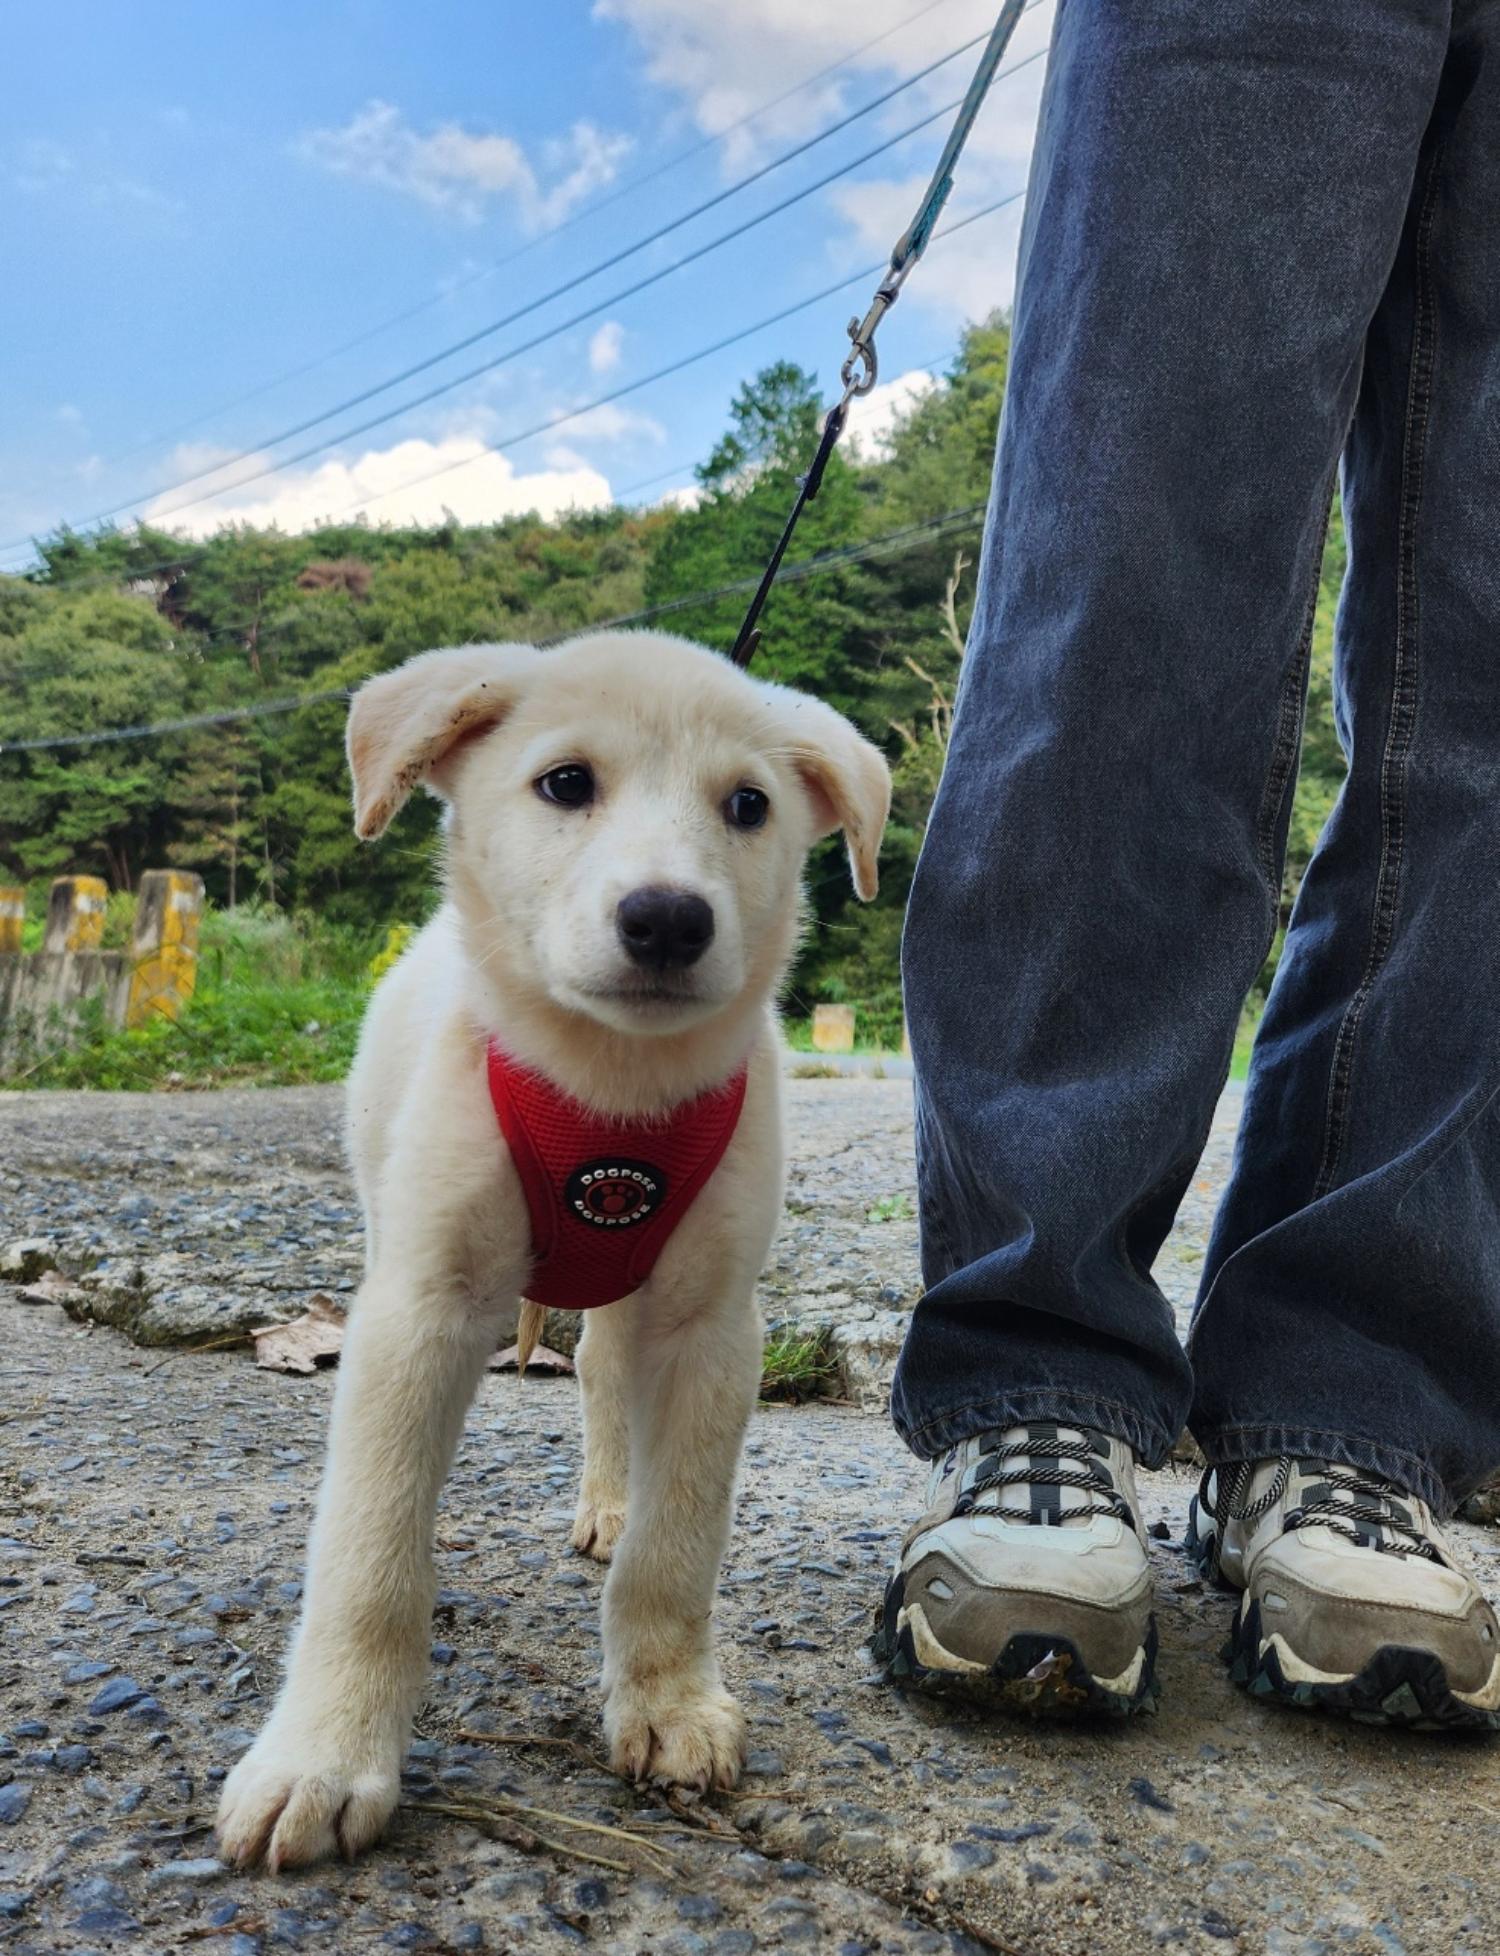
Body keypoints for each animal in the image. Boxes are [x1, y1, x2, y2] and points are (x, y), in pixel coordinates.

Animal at [213, 633, 891, 1869]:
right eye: (566, 783)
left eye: (749, 805)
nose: (669, 919)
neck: (608, 1086)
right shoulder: (415, 1312)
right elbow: (369, 1553)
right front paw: (324, 1756)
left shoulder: (715, 1328)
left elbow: (678, 1547)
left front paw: (666, 1702)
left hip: (636, 1296)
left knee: (600, 1373)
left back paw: (610, 1505)